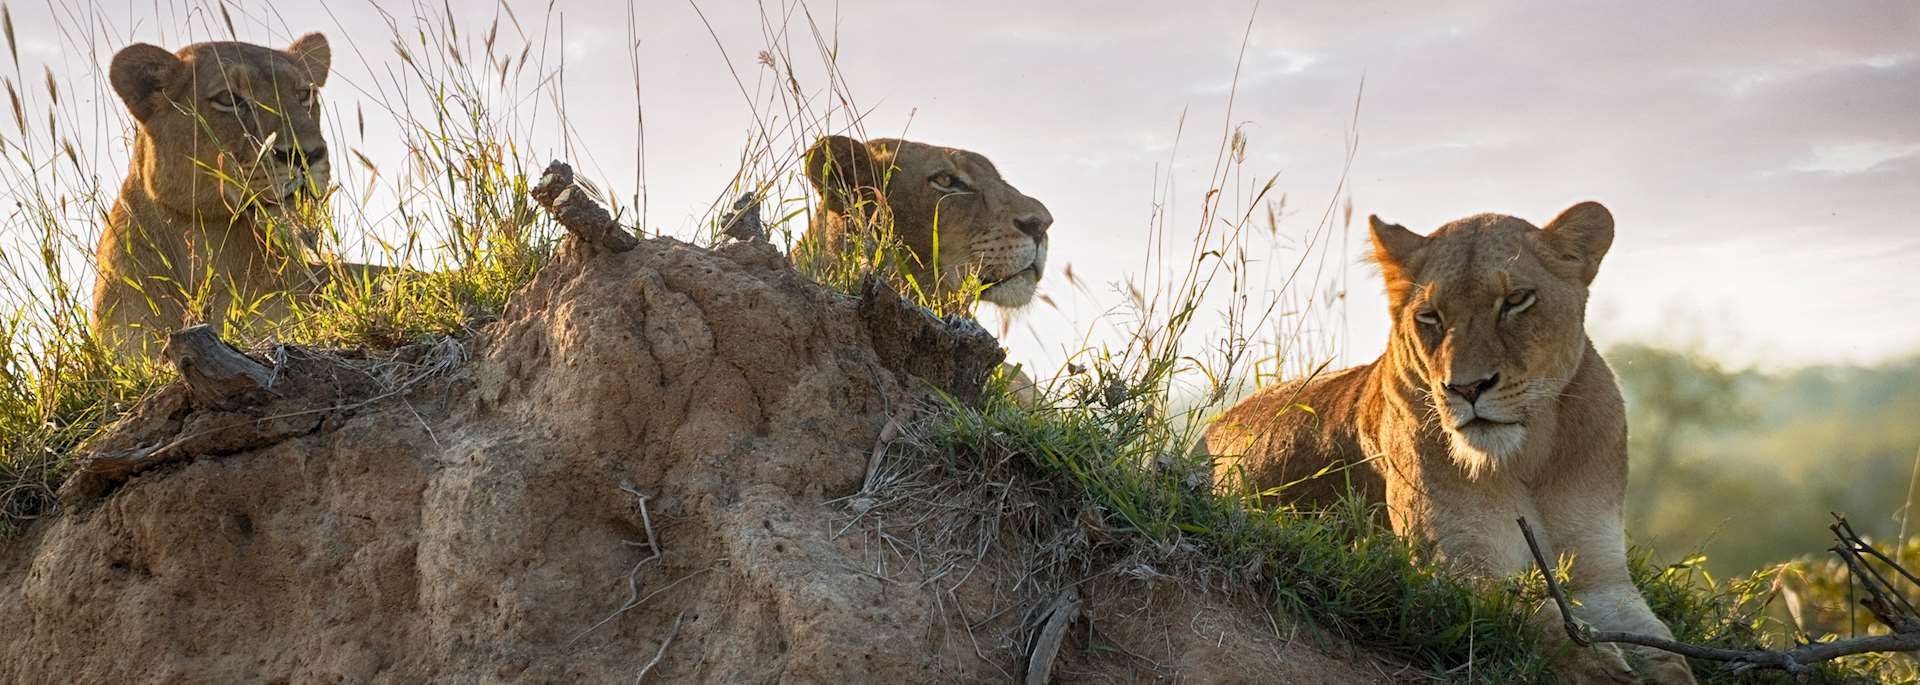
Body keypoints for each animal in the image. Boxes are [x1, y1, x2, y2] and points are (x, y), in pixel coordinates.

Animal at [1204, 202, 1695, 684]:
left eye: (1516, 301)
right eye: (1430, 316)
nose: (1467, 387)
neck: (1527, 455)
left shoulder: (1604, 577)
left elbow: (1666, 648)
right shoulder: (1453, 561)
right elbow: (1531, 614)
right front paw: (1598, 664)